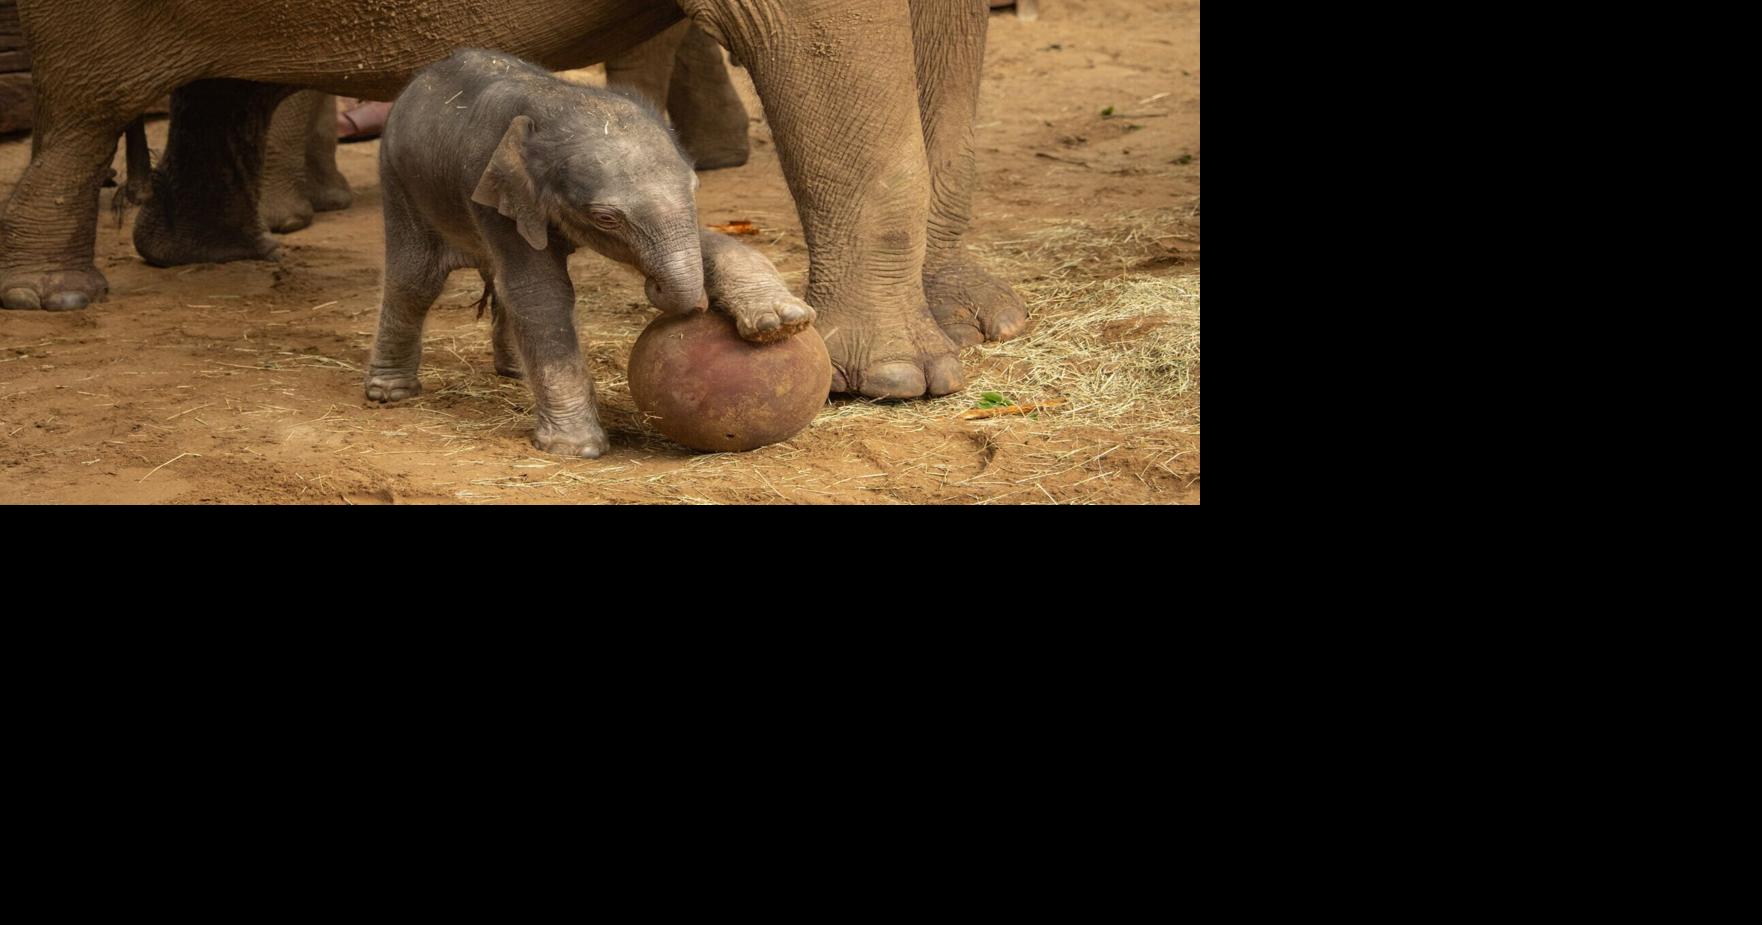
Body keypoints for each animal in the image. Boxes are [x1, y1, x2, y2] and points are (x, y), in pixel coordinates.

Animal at [0, 1, 1027, 399]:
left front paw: (985, 325)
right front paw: (904, 381)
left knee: (225, 81)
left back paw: (218, 253)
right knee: (87, 104)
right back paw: (57, 295)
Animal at [369, 49, 812, 457]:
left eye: (696, 188)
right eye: (605, 218)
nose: (697, 304)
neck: (557, 101)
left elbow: (704, 239)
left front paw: (782, 322)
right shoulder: (490, 185)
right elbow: (540, 291)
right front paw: (576, 448)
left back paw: (514, 374)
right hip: (398, 180)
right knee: (415, 282)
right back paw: (389, 393)